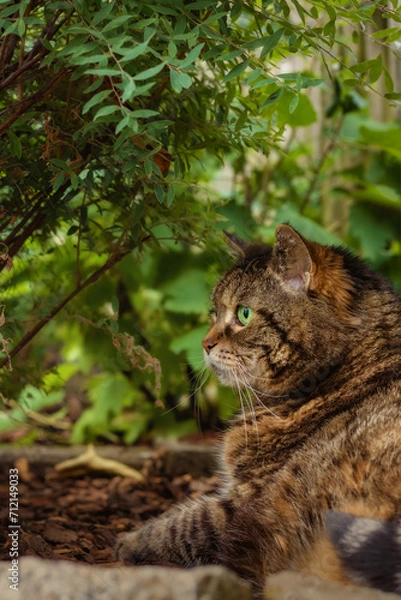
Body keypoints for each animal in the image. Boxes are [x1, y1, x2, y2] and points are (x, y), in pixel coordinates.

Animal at [115, 224, 400, 596]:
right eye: (213, 312)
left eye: (244, 314)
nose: (204, 343)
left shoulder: (242, 508)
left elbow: (182, 525)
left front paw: (127, 542)